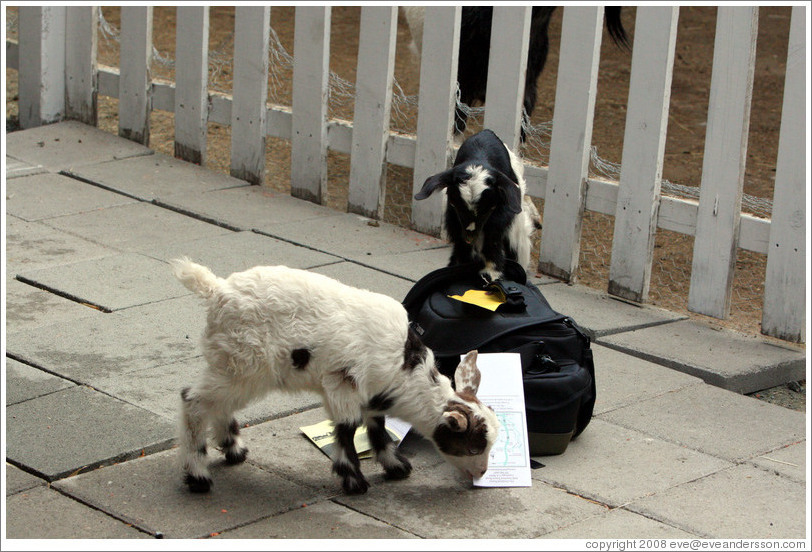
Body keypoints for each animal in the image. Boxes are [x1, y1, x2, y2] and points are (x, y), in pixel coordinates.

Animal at [170, 258, 500, 495]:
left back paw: (233, 450)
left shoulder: (372, 394)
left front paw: (396, 467)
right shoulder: (343, 384)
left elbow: (377, 427)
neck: (405, 370)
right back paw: (198, 476)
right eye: (473, 446)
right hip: (243, 363)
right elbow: (346, 428)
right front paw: (354, 481)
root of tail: (217, 290)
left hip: (233, 364)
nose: (482, 473)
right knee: (194, 400)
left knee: (217, 404)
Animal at [415, 129, 541, 282]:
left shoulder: (501, 215)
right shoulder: (454, 218)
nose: (470, 237)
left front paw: (492, 272)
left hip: (516, 230)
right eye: (457, 205)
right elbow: (461, 248)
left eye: (487, 208)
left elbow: (492, 240)